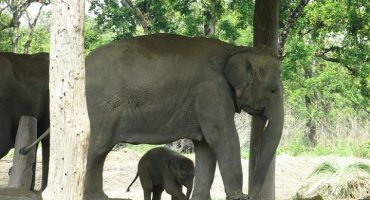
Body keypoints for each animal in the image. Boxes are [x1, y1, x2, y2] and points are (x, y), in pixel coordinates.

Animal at [85, 33, 284, 199]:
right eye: (273, 90)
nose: (250, 195)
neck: (237, 49)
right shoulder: (211, 92)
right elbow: (223, 138)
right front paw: (238, 197)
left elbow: (205, 147)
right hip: (99, 109)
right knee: (97, 148)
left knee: (99, 152)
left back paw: (100, 197)